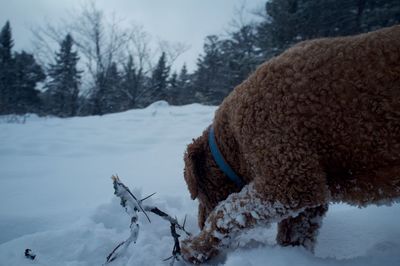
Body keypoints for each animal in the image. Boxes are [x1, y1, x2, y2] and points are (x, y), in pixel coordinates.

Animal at [181, 25, 400, 264]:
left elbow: (228, 212)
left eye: (198, 194)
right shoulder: (307, 191)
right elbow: (295, 232)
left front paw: (196, 247)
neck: (233, 143)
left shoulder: (291, 179)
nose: (199, 224)